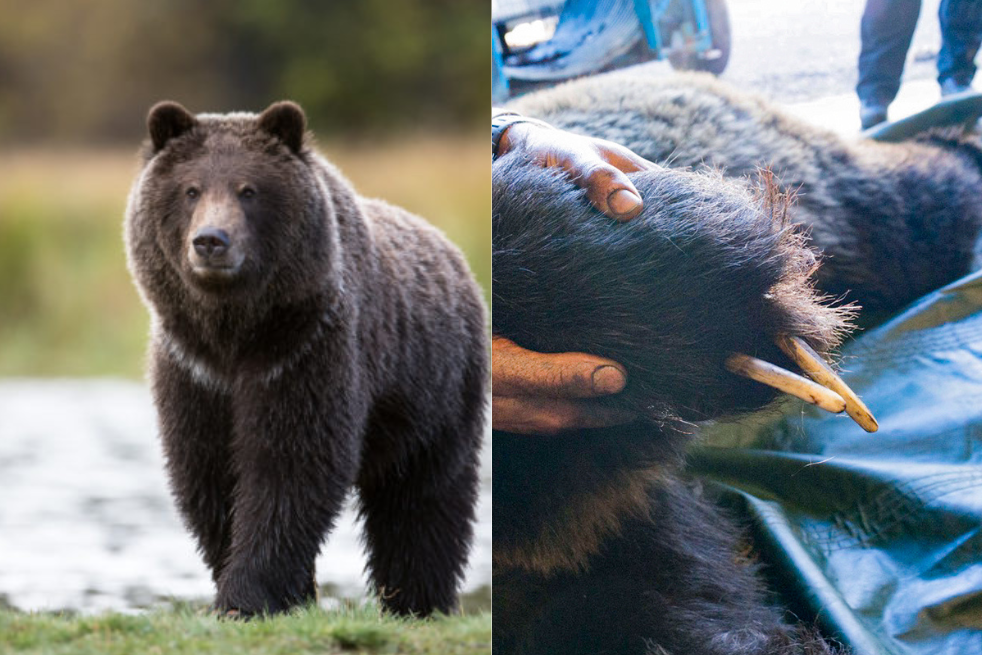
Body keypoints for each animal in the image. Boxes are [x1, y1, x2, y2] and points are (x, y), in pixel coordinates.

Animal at [124, 100, 489, 618]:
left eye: (249, 190)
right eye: (190, 189)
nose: (211, 240)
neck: (235, 334)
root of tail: (454, 255)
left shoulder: (305, 351)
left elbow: (290, 468)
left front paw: (247, 595)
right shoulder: (193, 370)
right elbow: (208, 474)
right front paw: (277, 592)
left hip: (437, 393)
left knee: (423, 500)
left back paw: (418, 600)